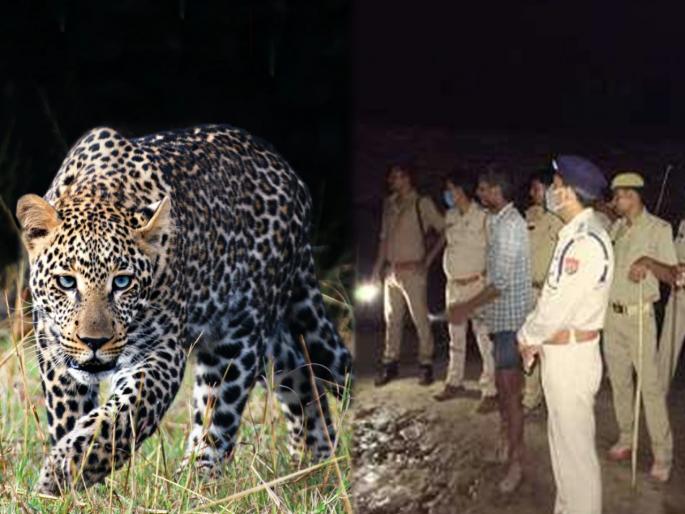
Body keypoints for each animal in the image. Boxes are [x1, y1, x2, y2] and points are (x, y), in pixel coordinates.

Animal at [15, 124, 352, 495]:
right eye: (66, 281)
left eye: (122, 282)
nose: (94, 342)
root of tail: (289, 174)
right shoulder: (53, 347)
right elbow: (70, 414)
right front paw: (72, 488)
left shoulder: (161, 350)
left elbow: (124, 416)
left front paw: (64, 471)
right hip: (272, 345)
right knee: (300, 372)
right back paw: (314, 461)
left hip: (239, 338)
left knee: (219, 416)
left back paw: (195, 483)